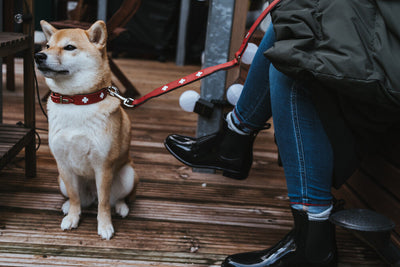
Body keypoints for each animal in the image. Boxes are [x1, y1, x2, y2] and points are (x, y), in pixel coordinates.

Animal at [34, 19, 141, 240]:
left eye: (69, 47)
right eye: (47, 46)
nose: (38, 56)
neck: (77, 101)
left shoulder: (103, 166)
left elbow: (104, 202)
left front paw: (105, 225)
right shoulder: (63, 164)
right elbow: (75, 197)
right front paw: (73, 217)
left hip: (128, 175)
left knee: (114, 198)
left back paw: (122, 207)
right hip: (61, 181)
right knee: (81, 199)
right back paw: (68, 206)